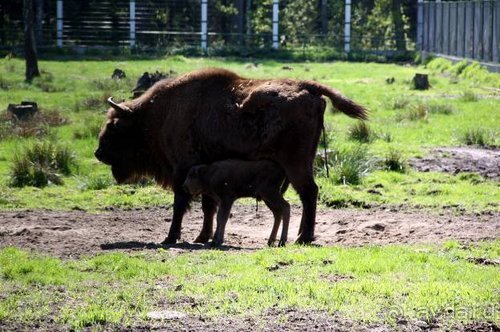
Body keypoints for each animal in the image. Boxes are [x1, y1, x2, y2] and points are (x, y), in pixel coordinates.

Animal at [94, 68, 368, 244]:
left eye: (114, 127)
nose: (98, 153)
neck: (159, 114)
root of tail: (306, 87)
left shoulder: (182, 169)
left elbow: (181, 203)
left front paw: (171, 237)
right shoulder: (203, 172)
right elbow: (208, 205)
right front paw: (202, 237)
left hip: (296, 164)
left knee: (309, 192)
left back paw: (303, 237)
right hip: (303, 163)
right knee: (306, 194)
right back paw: (301, 235)